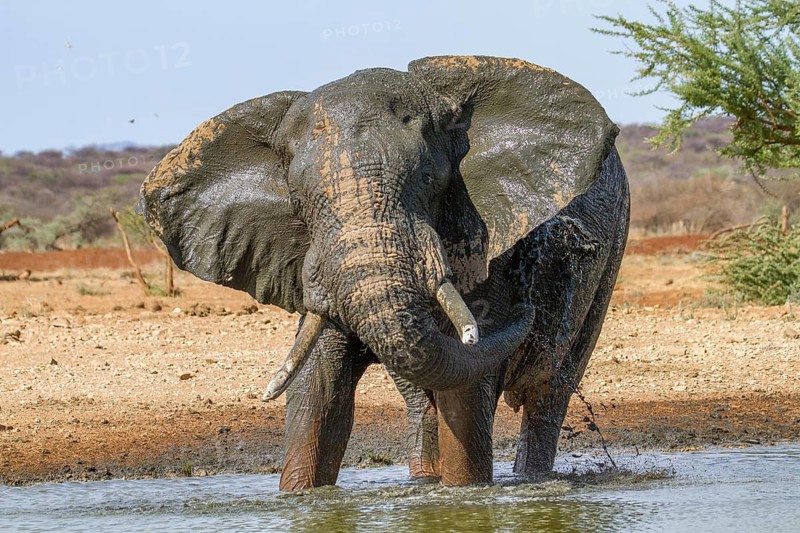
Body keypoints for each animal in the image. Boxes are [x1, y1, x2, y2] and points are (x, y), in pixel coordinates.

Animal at [138, 55, 630, 490]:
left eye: (432, 180)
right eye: (299, 200)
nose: (526, 308)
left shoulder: (485, 241)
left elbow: (467, 393)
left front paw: (466, 496)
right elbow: (317, 391)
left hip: (611, 254)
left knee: (549, 392)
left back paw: (531, 479)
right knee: (422, 397)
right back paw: (424, 480)